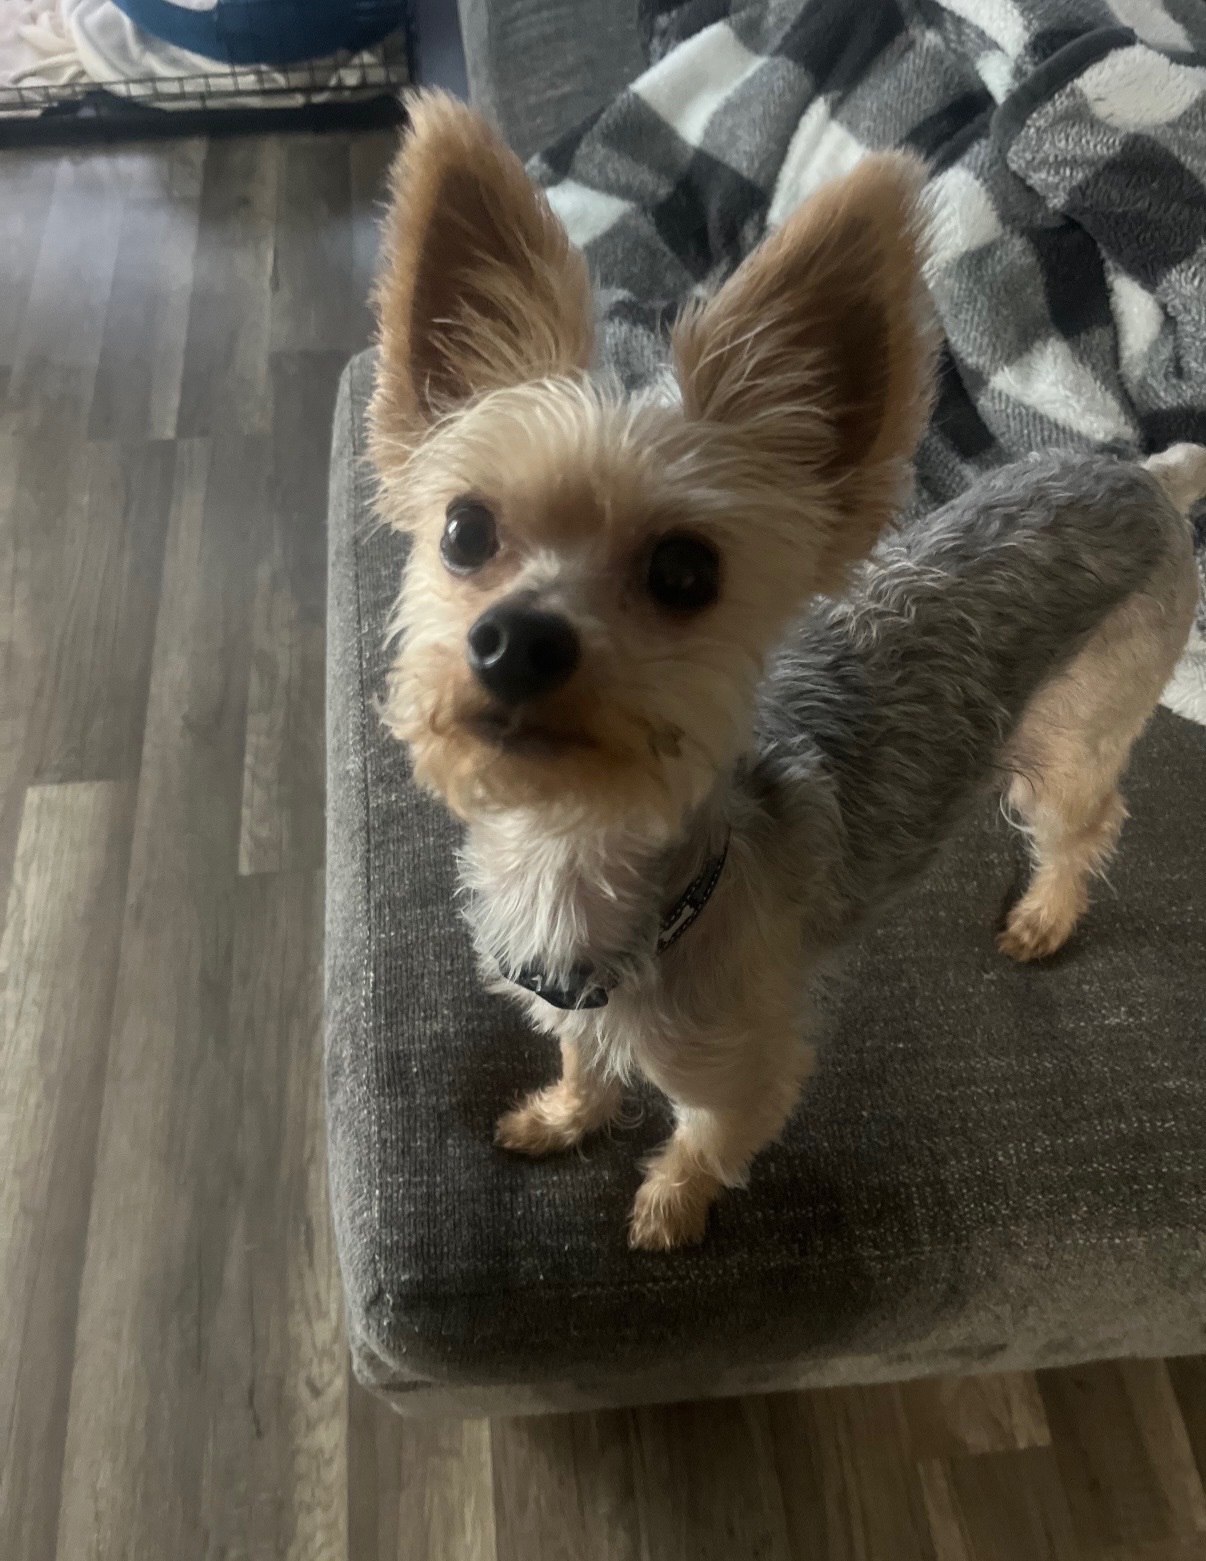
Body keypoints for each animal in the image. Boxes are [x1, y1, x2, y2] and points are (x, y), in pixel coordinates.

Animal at [367, 92, 1203, 1250]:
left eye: (686, 572)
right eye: (464, 530)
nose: (516, 638)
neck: (571, 853)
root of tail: (1149, 476)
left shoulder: (747, 1076)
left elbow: (705, 1143)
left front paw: (667, 1213)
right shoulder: (569, 1007)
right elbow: (582, 1060)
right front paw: (564, 1115)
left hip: (1076, 734)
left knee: (1086, 819)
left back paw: (1047, 913)